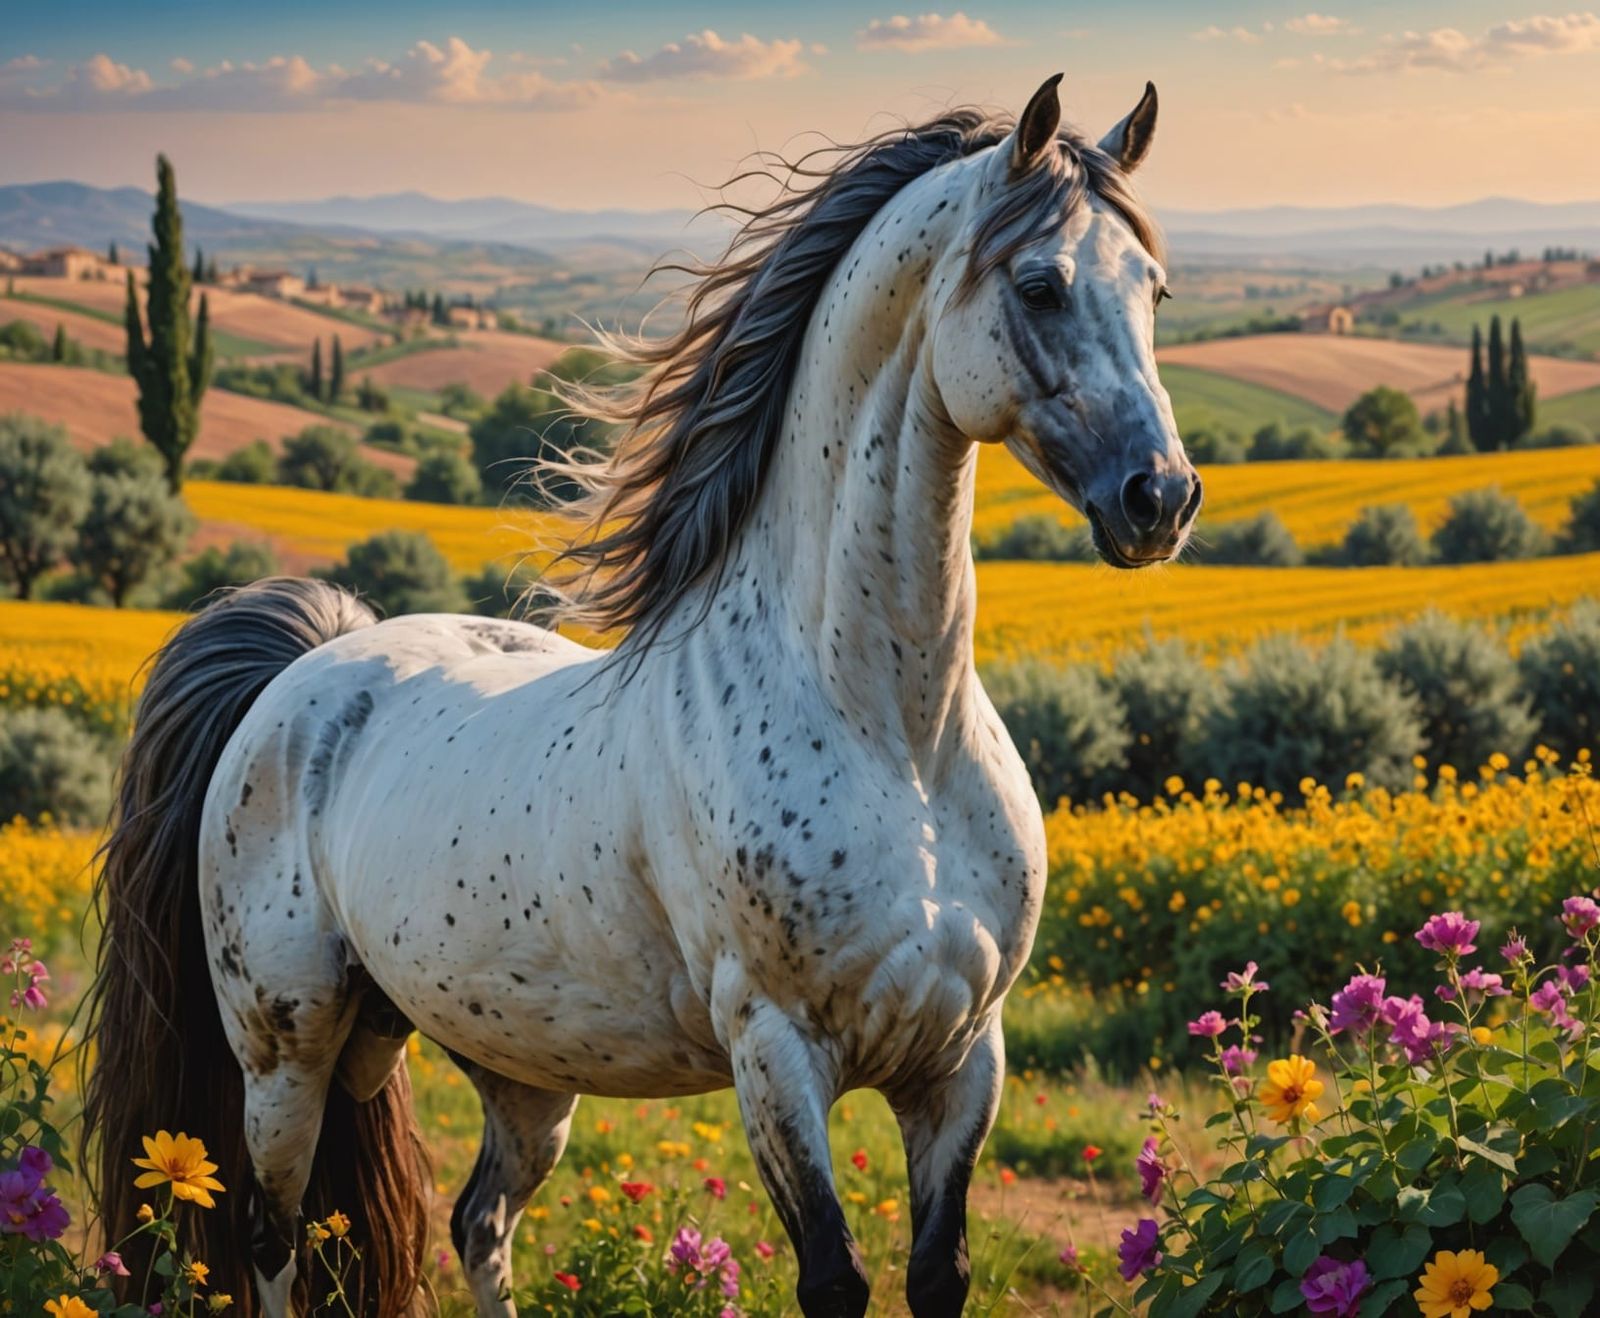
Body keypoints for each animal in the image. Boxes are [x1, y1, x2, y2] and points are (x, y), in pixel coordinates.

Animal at [85, 73, 1199, 1318]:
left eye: (1152, 288)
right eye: (1040, 283)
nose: (1161, 498)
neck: (895, 737)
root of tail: (302, 674)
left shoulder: (962, 1060)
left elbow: (936, 1273)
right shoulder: (776, 1051)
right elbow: (834, 1276)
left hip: (508, 1060)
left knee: (476, 1222)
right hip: (284, 1055)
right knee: (272, 1243)